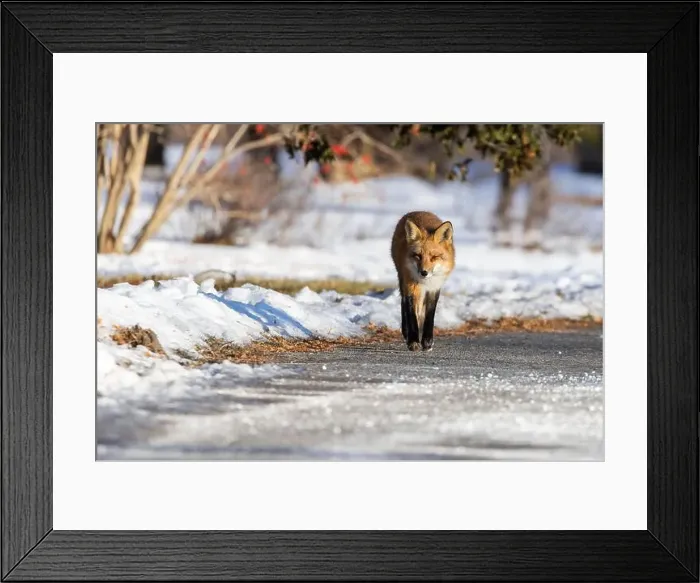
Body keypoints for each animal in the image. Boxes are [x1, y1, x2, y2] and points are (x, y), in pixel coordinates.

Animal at [390, 211, 455, 352]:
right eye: (417, 256)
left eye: (434, 257)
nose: (423, 272)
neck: (425, 282)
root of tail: (418, 211)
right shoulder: (411, 286)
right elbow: (411, 314)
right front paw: (413, 341)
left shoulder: (434, 288)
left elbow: (429, 316)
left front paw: (427, 341)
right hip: (402, 279)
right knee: (403, 303)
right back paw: (405, 331)